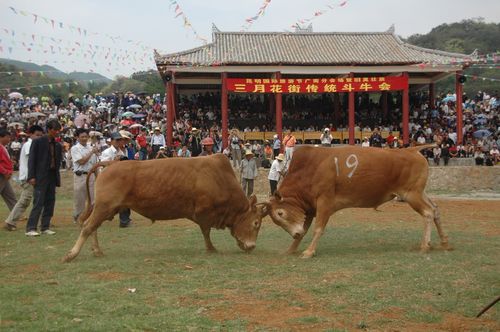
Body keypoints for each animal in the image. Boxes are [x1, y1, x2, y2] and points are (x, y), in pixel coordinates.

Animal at [63, 155, 270, 262]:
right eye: (256, 223)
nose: (251, 246)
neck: (219, 178)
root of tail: (111, 163)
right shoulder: (204, 213)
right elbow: (206, 232)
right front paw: (211, 248)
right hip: (104, 207)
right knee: (87, 227)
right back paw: (71, 254)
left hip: (106, 208)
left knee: (91, 225)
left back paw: (97, 250)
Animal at [266, 146, 450, 260]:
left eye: (280, 213)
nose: (294, 234)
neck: (308, 171)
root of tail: (412, 150)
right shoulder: (309, 208)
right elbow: (304, 230)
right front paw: (291, 249)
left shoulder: (324, 202)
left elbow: (318, 229)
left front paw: (309, 251)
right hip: (419, 193)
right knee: (435, 209)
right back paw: (444, 243)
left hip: (411, 195)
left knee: (428, 212)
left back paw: (425, 245)